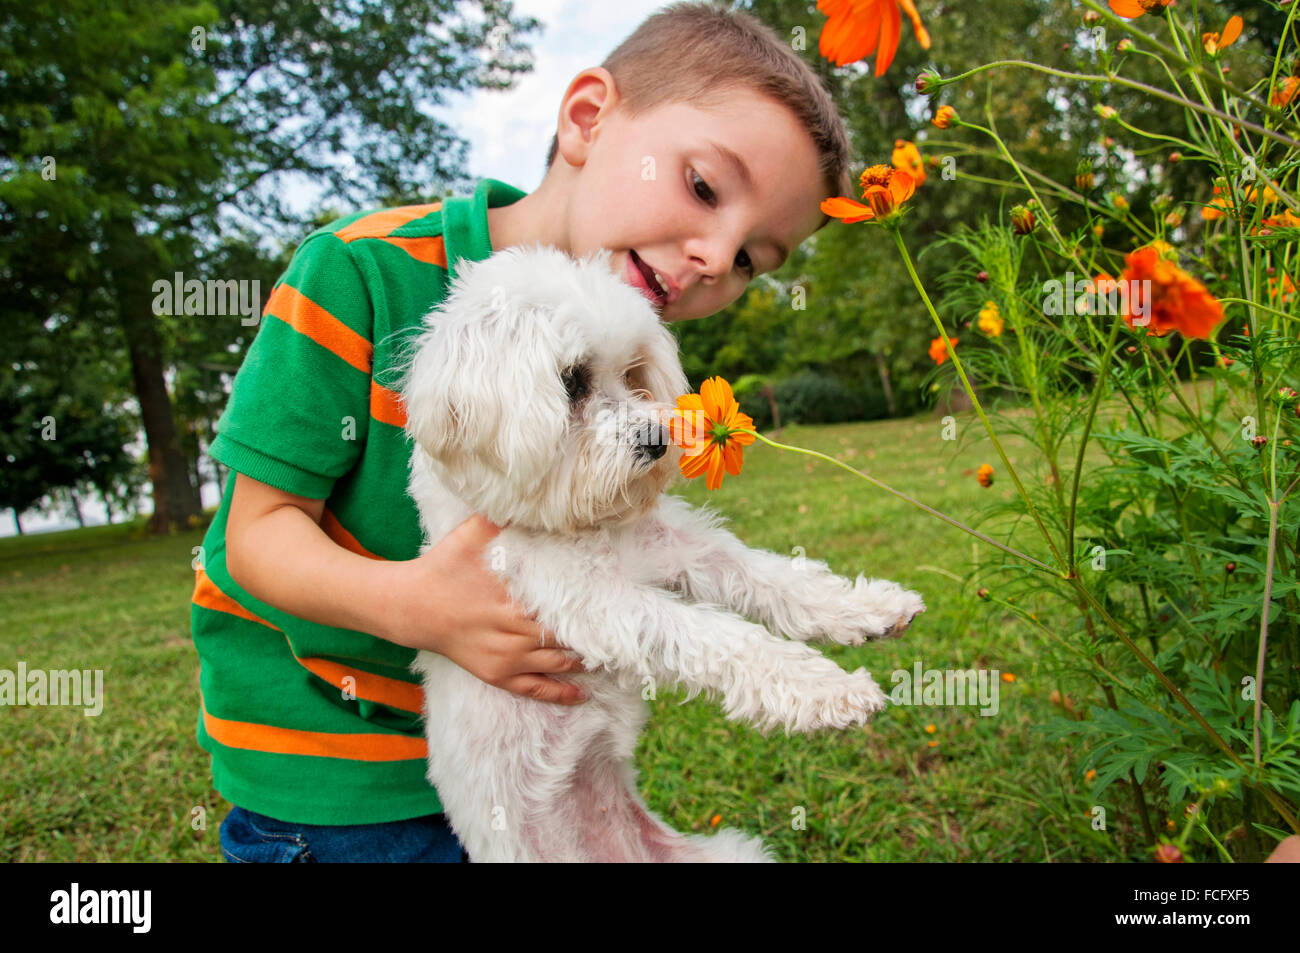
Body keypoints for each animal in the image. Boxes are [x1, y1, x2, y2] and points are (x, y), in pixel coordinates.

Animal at [395, 243, 925, 863]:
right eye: (571, 381)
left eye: (633, 374)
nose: (657, 440)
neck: (589, 526)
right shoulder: (596, 603)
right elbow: (724, 636)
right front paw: (829, 689)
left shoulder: (680, 551)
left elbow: (776, 579)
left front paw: (871, 609)